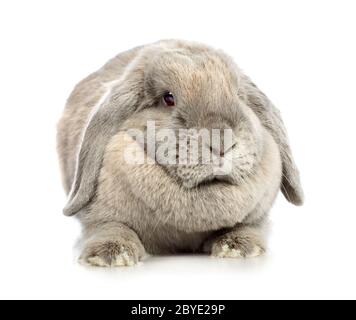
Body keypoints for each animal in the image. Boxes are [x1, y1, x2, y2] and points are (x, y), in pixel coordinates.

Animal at [57, 39, 302, 268]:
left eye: (239, 96)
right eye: (168, 98)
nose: (222, 143)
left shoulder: (258, 217)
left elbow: (249, 226)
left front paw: (239, 247)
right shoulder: (97, 217)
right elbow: (111, 226)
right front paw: (111, 254)